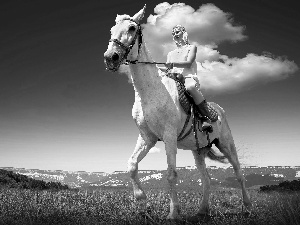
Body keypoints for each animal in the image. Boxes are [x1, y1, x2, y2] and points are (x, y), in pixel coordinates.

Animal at [103, 4, 251, 220]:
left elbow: (171, 174)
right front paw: (142, 202)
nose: (110, 58)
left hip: (226, 144)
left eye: (132, 28)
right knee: (206, 179)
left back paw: (247, 206)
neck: (151, 93)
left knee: (239, 173)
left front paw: (173, 214)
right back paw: (202, 211)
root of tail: (220, 110)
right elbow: (132, 166)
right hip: (199, 151)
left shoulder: (169, 136)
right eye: (112, 29)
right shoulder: (147, 138)